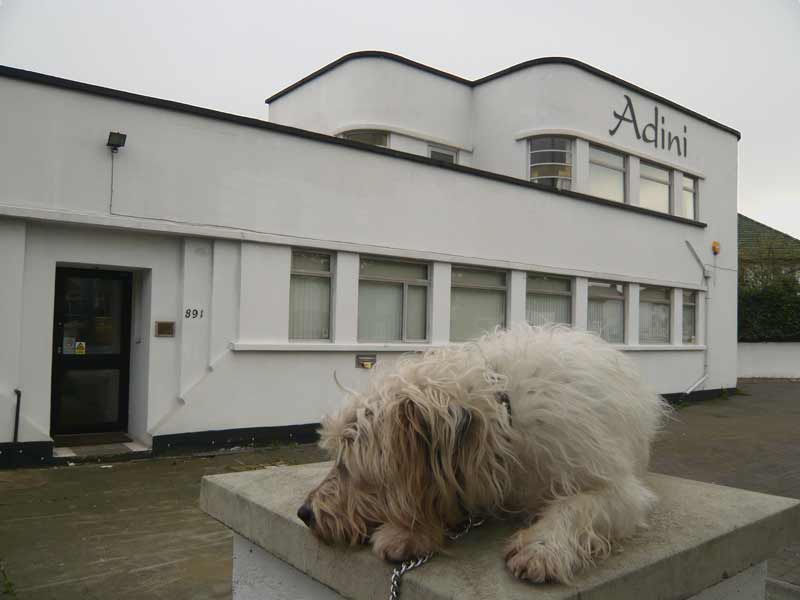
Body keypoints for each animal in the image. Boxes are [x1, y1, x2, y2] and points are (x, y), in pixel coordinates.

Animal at [298, 326, 668, 584]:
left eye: (347, 465)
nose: (304, 513)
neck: (506, 420)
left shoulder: (615, 488)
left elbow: (577, 506)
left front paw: (541, 547)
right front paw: (409, 533)